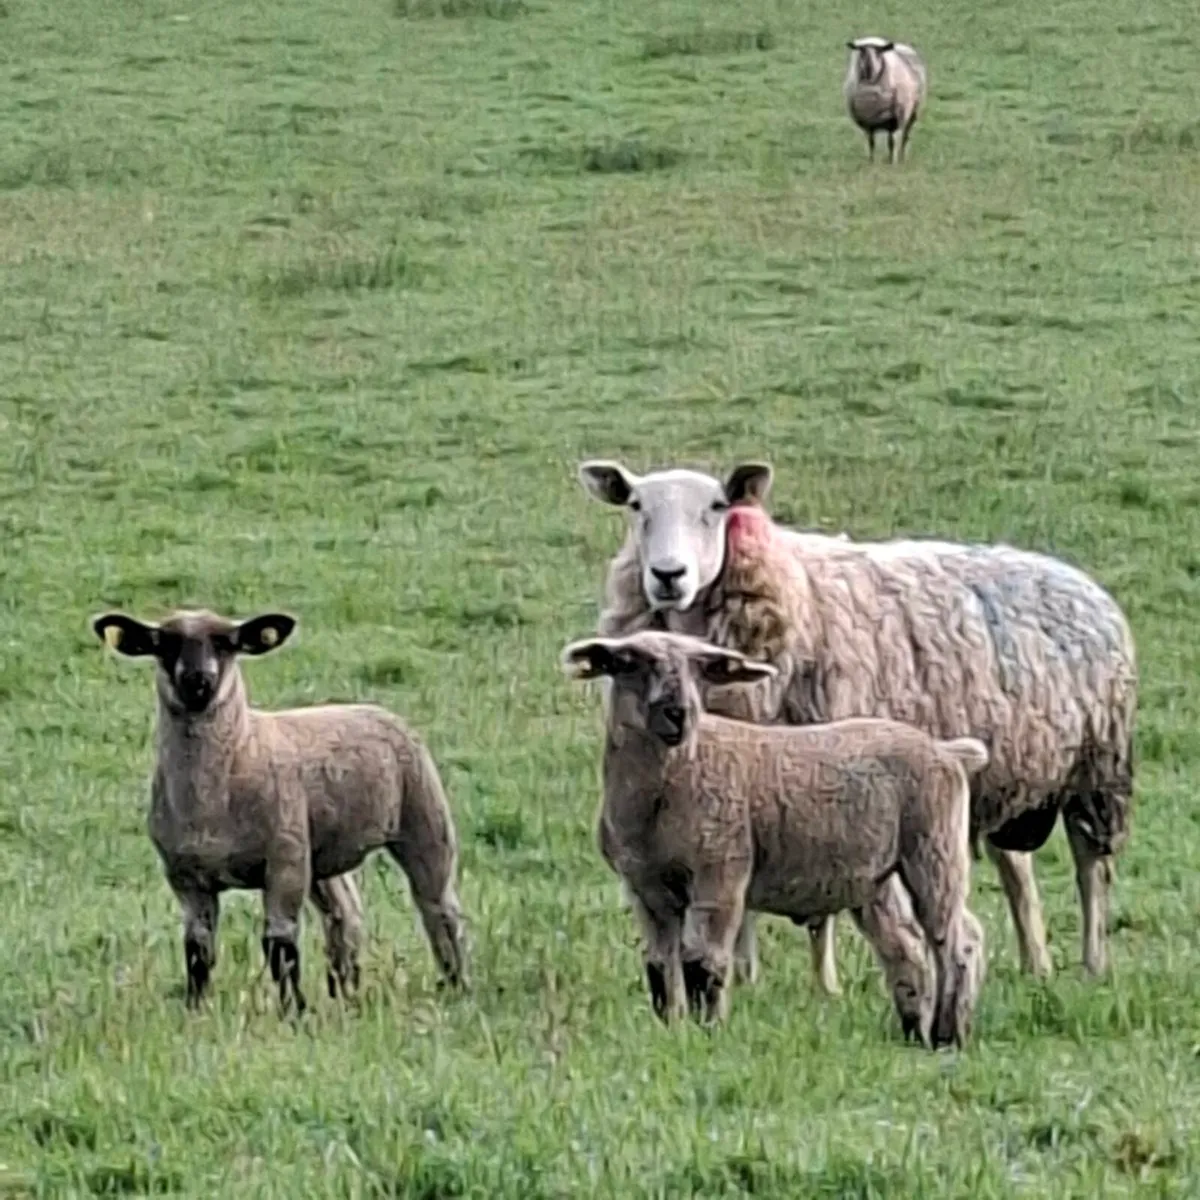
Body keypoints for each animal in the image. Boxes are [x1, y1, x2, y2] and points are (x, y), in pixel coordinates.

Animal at [93, 607, 468, 1013]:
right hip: (319, 854)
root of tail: (372, 708)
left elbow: (280, 947)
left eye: (227, 643)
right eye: (164, 643)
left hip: (423, 817)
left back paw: (458, 986)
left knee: (440, 909)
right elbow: (197, 949)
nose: (198, 680)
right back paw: (344, 994)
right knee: (346, 915)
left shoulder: (283, 862)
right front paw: (195, 1010)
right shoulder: (185, 877)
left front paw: (294, 1012)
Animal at [562, 629, 987, 1048]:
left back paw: (949, 1034)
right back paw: (915, 1031)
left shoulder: (720, 871)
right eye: (628, 663)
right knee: (906, 946)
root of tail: (947, 750)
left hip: (935, 848)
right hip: (877, 877)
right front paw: (671, 1033)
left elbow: (703, 963)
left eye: (699, 668)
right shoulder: (644, 888)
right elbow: (659, 967)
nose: (678, 713)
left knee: (956, 940)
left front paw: (707, 1035)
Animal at [577, 459, 1137, 997]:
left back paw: (1093, 964)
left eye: (717, 507)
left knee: (1092, 868)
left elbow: (817, 911)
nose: (667, 575)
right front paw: (746, 975)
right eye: (635, 505)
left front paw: (824, 987)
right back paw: (1035, 964)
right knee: (1016, 870)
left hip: (1096, 769)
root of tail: (1077, 578)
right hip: (1007, 777)